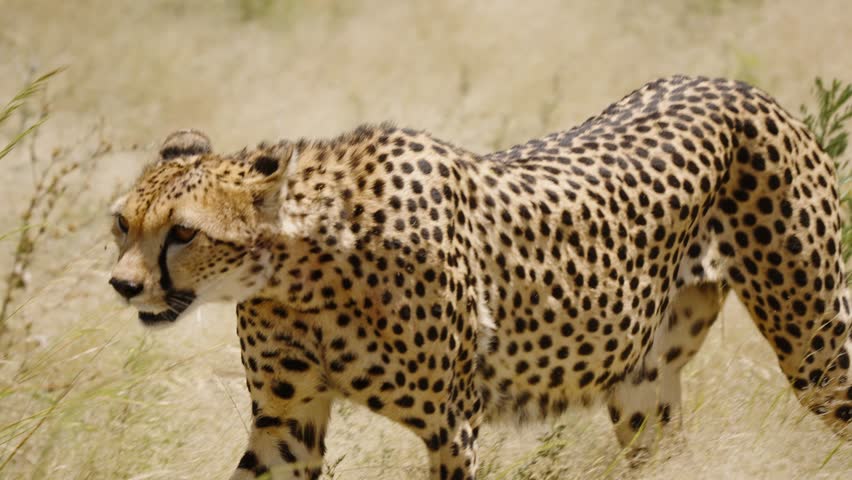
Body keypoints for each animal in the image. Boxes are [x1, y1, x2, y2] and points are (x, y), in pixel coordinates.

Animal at [108, 75, 851, 480]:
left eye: (183, 232)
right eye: (122, 223)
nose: (123, 286)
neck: (301, 271)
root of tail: (730, 85)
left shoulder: (453, 423)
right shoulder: (285, 424)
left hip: (816, 351)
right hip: (641, 387)